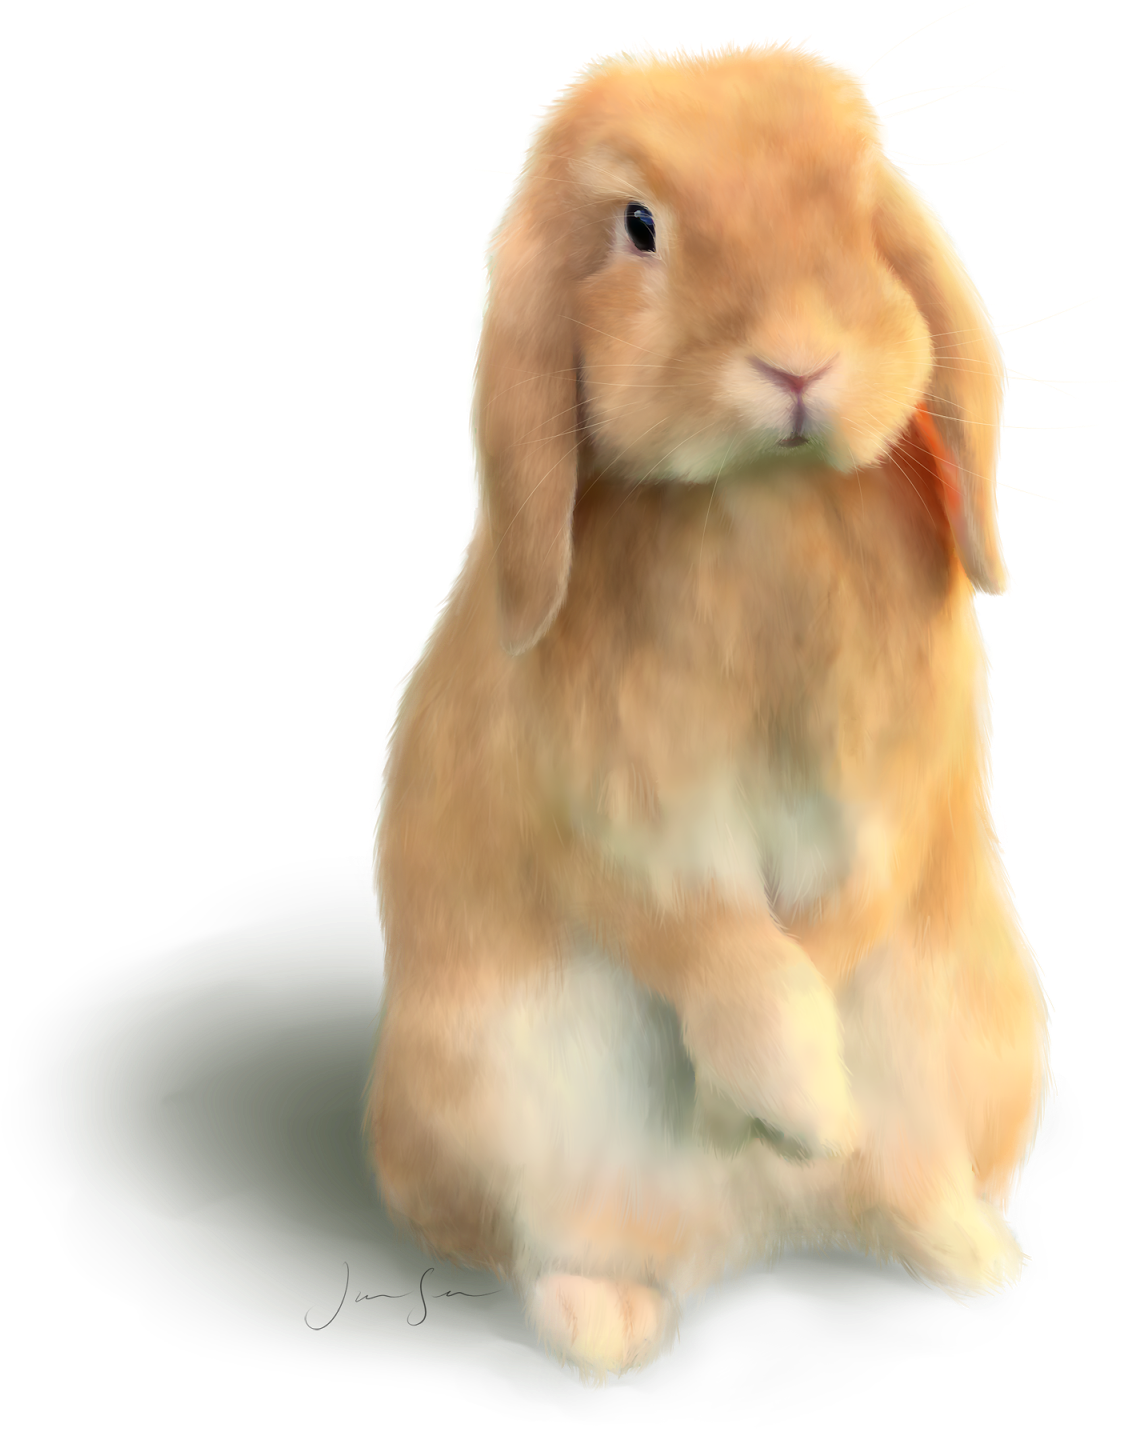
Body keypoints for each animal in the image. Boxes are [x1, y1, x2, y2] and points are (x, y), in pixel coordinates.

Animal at [360, 38, 1060, 1391]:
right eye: (639, 225)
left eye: (859, 201)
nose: (797, 361)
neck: (758, 506)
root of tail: (752, 1242)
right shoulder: (613, 824)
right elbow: (716, 948)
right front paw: (792, 1103)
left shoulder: (895, 796)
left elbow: (837, 920)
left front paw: (795, 1114)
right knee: (573, 1246)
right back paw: (608, 1326)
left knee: (891, 1194)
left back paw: (961, 1247)